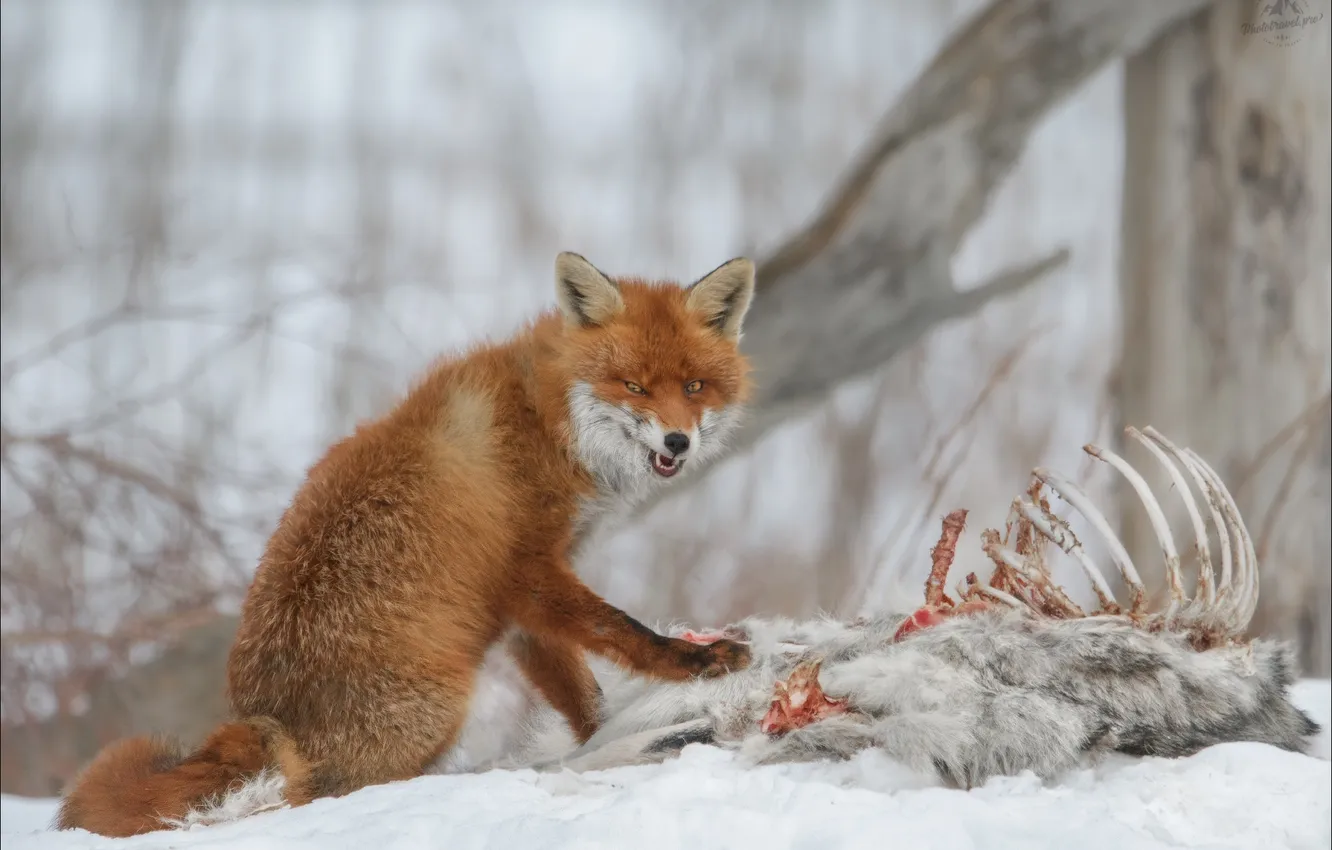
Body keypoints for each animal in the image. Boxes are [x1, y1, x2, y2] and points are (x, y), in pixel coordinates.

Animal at [55, 252, 758, 837]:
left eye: (694, 387)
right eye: (633, 387)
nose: (677, 442)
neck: (550, 420)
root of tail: (265, 717)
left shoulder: (522, 609)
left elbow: (586, 700)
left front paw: (615, 734)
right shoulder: (528, 573)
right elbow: (623, 630)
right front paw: (696, 665)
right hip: (444, 703)